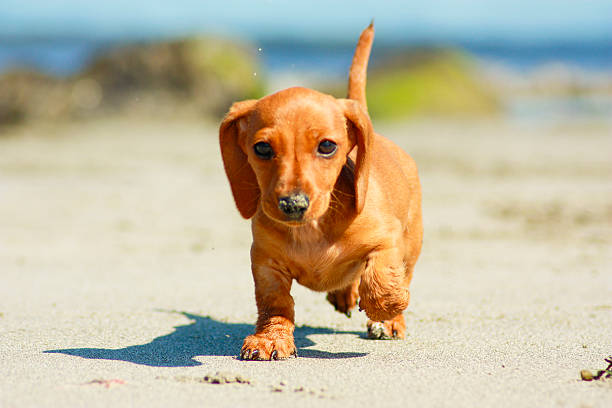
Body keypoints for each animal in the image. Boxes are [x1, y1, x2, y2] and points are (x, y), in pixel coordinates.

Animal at [218, 23, 424, 360]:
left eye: (327, 146)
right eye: (262, 148)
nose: (293, 204)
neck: (312, 229)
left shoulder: (389, 239)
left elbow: (382, 278)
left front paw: (387, 308)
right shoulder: (264, 261)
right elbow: (275, 303)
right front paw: (270, 338)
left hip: (413, 239)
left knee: (399, 271)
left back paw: (390, 319)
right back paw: (344, 293)